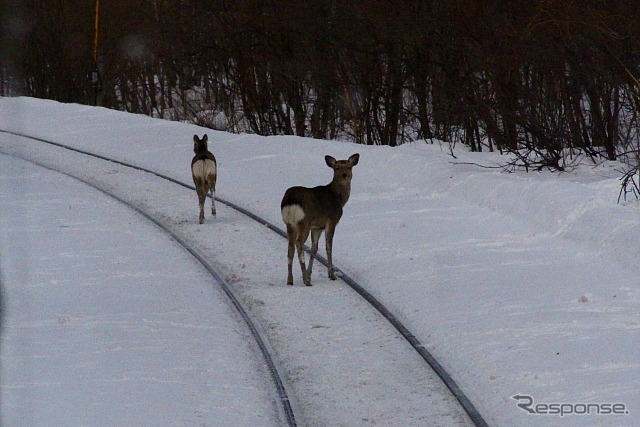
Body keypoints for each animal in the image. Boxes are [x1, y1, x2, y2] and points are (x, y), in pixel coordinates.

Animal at [280, 152, 360, 286]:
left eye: (349, 167)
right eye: (337, 168)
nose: (345, 175)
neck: (339, 199)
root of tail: (291, 200)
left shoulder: (317, 227)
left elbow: (314, 249)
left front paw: (310, 273)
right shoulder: (331, 220)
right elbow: (328, 247)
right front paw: (331, 275)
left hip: (290, 223)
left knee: (290, 247)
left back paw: (290, 280)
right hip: (304, 221)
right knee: (299, 243)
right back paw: (306, 281)